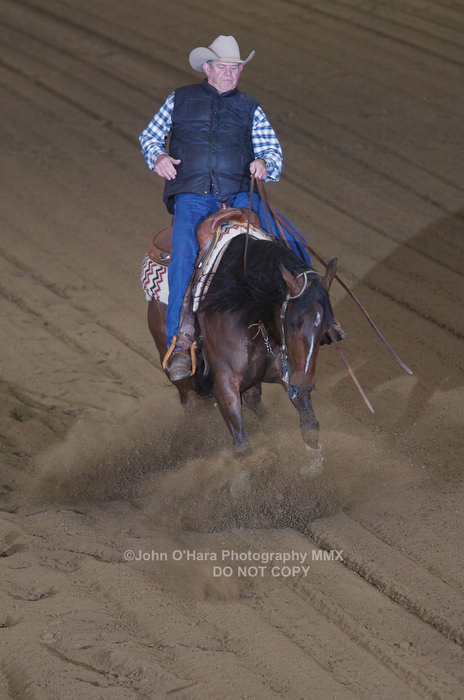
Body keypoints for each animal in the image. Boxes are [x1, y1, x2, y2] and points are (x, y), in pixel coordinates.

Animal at [146, 225, 338, 461]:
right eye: (292, 323)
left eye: (325, 327)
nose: (303, 385)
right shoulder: (225, 384)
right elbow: (242, 447)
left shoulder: (289, 372)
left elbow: (310, 426)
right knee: (192, 403)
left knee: (253, 398)